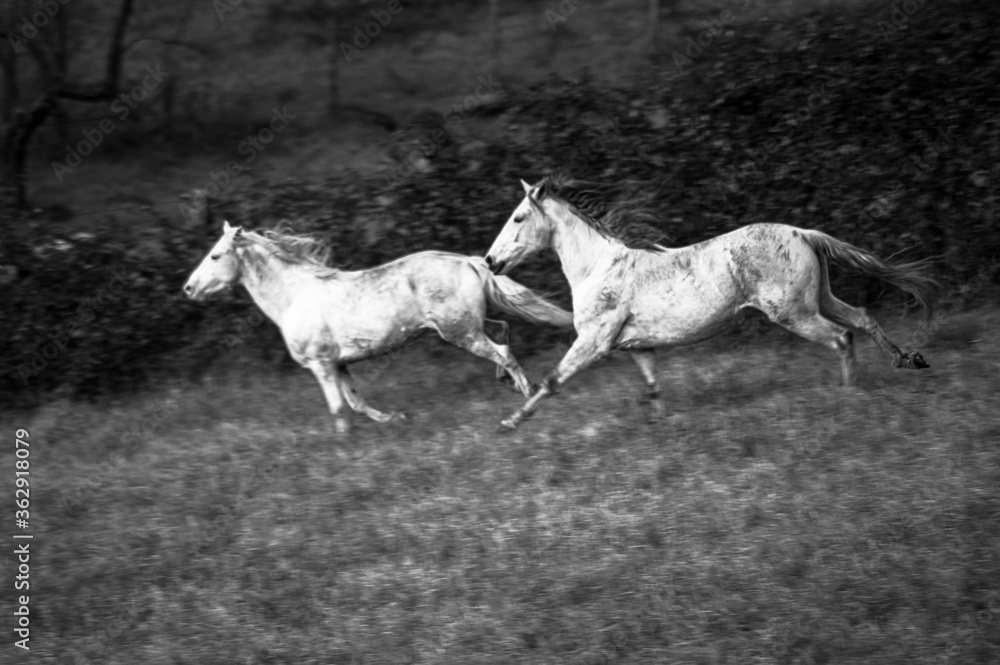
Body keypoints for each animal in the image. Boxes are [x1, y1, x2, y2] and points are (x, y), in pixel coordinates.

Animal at [183, 221, 573, 433]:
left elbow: (339, 408)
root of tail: (469, 261)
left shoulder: (320, 364)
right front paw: (396, 419)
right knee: (502, 329)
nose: (189, 288)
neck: (295, 296)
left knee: (503, 350)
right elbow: (356, 403)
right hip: (467, 324)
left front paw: (343, 448)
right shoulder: (338, 364)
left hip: (459, 331)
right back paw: (510, 383)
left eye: (215, 255)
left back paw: (525, 393)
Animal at [484, 175, 938, 429]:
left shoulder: (593, 342)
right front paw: (664, 427)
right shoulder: (637, 348)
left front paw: (511, 422)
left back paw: (848, 396)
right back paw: (909, 361)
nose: (490, 261)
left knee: (842, 337)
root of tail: (802, 233)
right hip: (818, 300)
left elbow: (551, 380)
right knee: (861, 318)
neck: (599, 267)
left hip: (793, 312)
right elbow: (653, 388)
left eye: (519, 218)